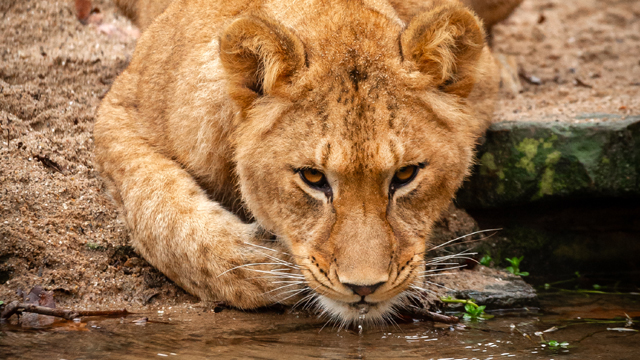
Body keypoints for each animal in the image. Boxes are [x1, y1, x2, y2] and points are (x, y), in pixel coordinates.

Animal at [95, 0, 520, 324]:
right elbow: (162, 214)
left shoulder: (484, 78)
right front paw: (264, 269)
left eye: (405, 174)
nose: (363, 288)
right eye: (313, 177)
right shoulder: (119, 108)